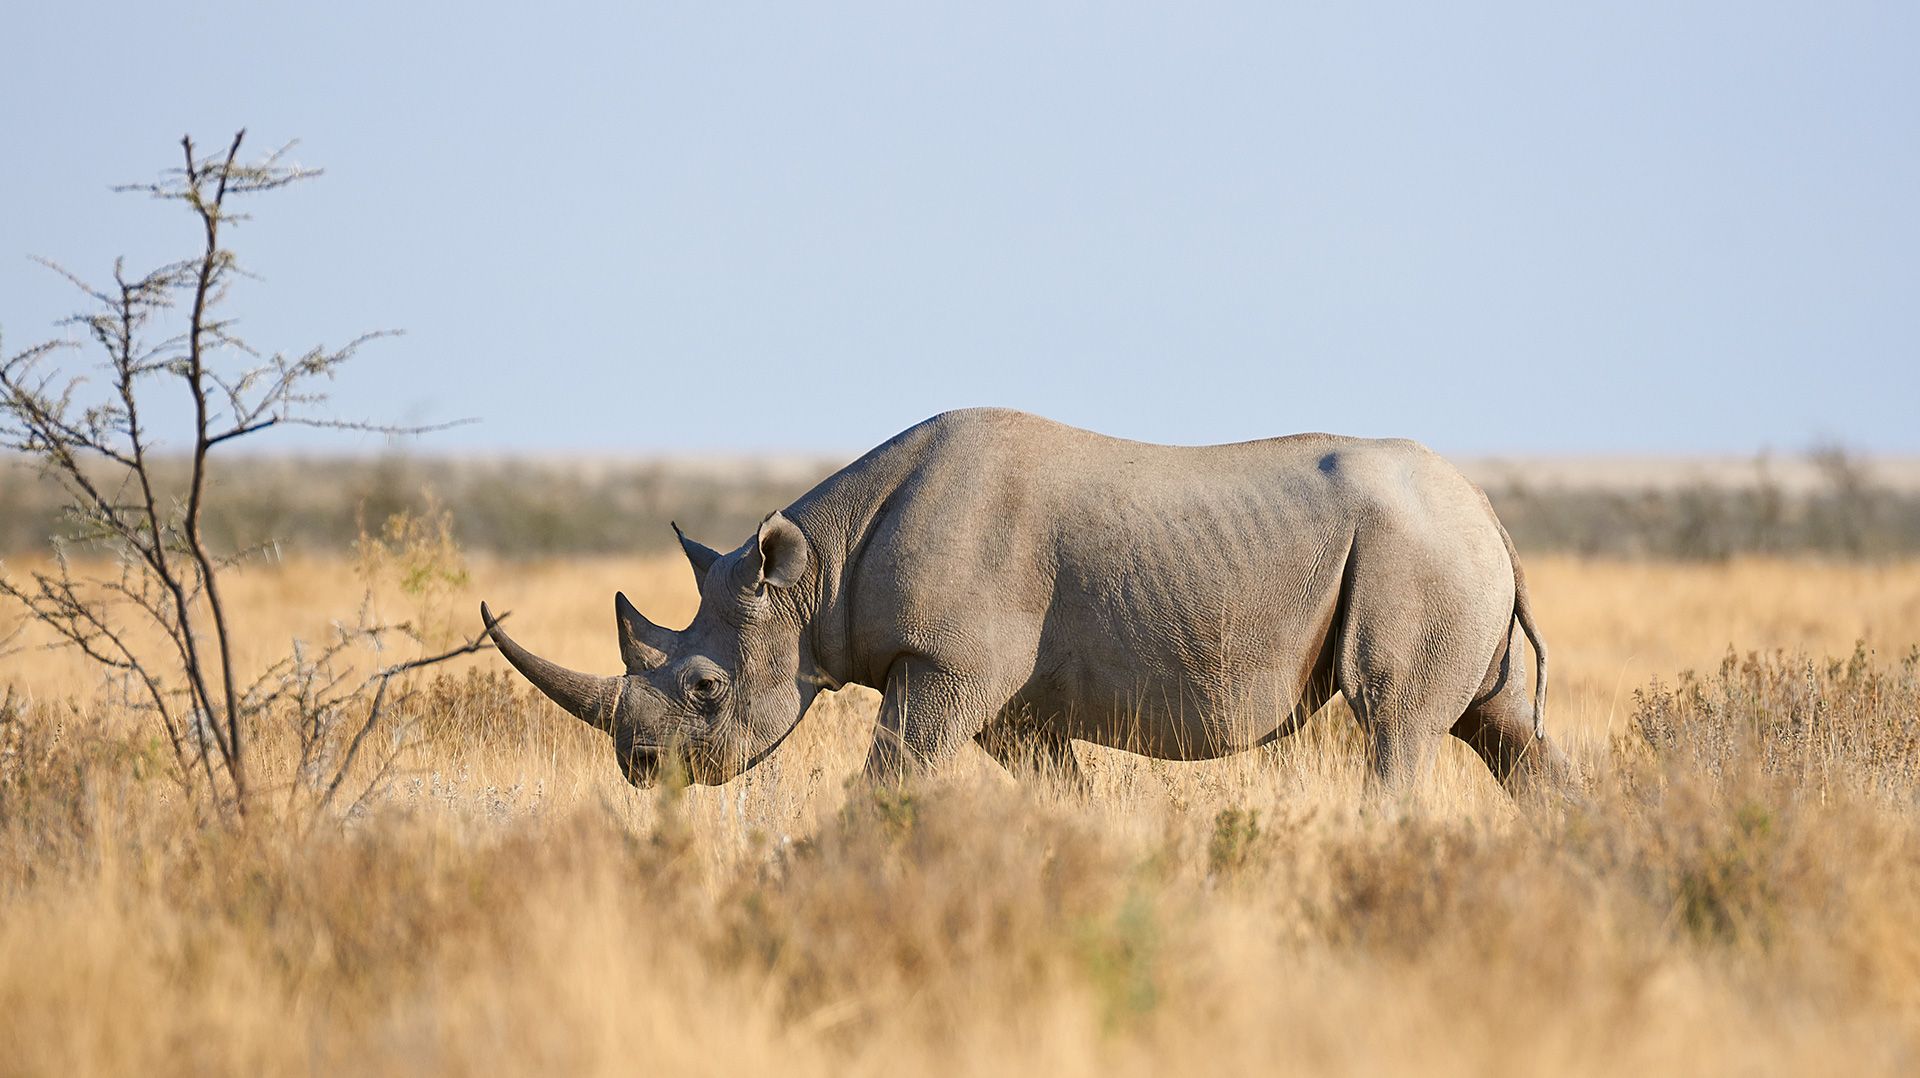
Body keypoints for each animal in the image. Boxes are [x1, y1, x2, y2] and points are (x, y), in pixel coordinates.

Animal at [481, 408, 1569, 797]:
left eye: (705, 688)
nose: (638, 769)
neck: (812, 575)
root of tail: (1490, 511)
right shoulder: (1009, 695)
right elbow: (1060, 792)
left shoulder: (948, 663)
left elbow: (888, 774)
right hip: (1445, 555)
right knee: (1506, 732)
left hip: (1419, 554)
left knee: (1397, 729)